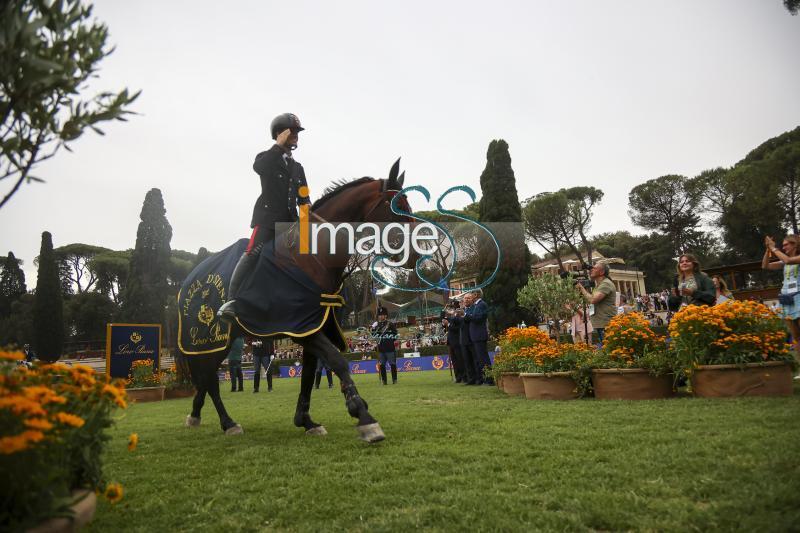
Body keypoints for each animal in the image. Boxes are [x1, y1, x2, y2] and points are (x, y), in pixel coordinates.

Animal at [175, 160, 412, 442]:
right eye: (398, 207)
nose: (414, 255)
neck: (313, 258)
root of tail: (189, 280)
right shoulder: (302, 329)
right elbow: (337, 361)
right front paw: (363, 415)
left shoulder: (313, 326)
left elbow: (308, 375)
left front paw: (306, 420)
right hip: (211, 341)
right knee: (210, 378)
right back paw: (227, 422)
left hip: (223, 341)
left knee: (206, 378)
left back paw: (197, 415)